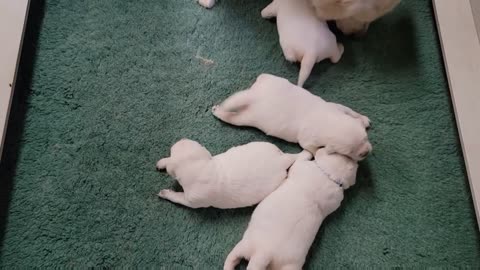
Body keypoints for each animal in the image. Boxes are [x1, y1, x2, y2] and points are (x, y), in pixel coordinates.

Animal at [156, 138, 310, 210]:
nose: (182, 139)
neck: (201, 169)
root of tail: (283, 160)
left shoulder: (193, 201)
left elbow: (179, 198)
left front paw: (166, 193)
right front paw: (162, 162)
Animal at [212, 73, 374, 160]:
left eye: (365, 138)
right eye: (349, 153)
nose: (366, 153)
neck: (329, 122)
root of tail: (255, 96)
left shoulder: (337, 107)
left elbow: (350, 111)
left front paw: (363, 118)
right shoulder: (307, 140)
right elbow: (312, 149)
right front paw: (319, 154)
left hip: (276, 82)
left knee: (265, 77)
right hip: (244, 118)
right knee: (231, 117)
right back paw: (218, 111)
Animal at [224, 148, 356, 270]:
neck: (329, 175)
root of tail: (265, 254)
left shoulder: (302, 166)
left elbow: (301, 159)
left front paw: (307, 152)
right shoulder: (336, 199)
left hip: (246, 245)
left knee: (232, 257)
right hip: (286, 265)